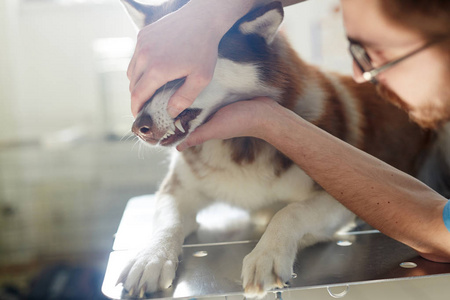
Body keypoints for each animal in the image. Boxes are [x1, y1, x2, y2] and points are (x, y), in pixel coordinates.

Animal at [118, 0, 448, 298]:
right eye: (140, 78)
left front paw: (267, 255)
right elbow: (168, 223)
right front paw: (150, 257)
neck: (238, 146)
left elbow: (289, 212)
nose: (138, 127)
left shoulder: (343, 201)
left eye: (179, 73)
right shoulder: (177, 191)